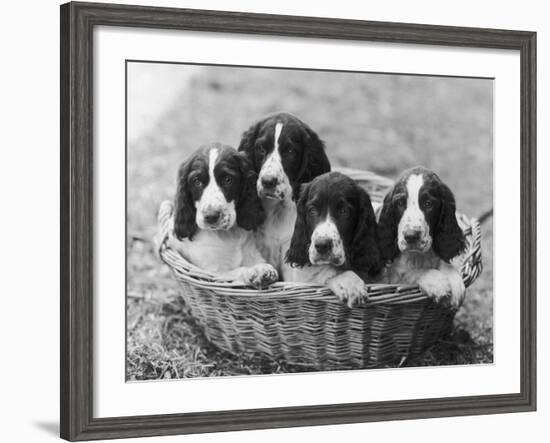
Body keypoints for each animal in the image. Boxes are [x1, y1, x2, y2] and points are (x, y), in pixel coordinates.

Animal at [168, 141, 278, 288]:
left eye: (227, 179)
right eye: (197, 181)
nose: (211, 216)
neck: (227, 235)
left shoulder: (253, 254)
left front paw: (261, 268)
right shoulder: (212, 272)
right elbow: (236, 271)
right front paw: (256, 271)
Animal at [380, 166, 470, 308]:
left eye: (428, 203)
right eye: (400, 203)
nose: (411, 236)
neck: (418, 257)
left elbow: (444, 262)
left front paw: (454, 281)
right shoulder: (390, 278)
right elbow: (408, 274)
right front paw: (437, 282)